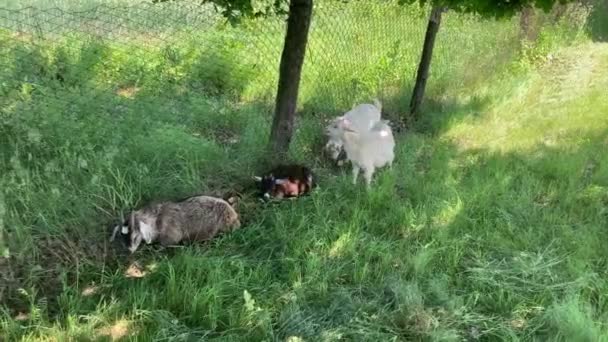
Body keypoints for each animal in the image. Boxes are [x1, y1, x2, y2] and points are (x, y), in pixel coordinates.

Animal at [110, 195, 241, 254]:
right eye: (122, 236)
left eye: (135, 236)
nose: (129, 250)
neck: (157, 221)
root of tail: (234, 214)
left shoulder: (171, 236)